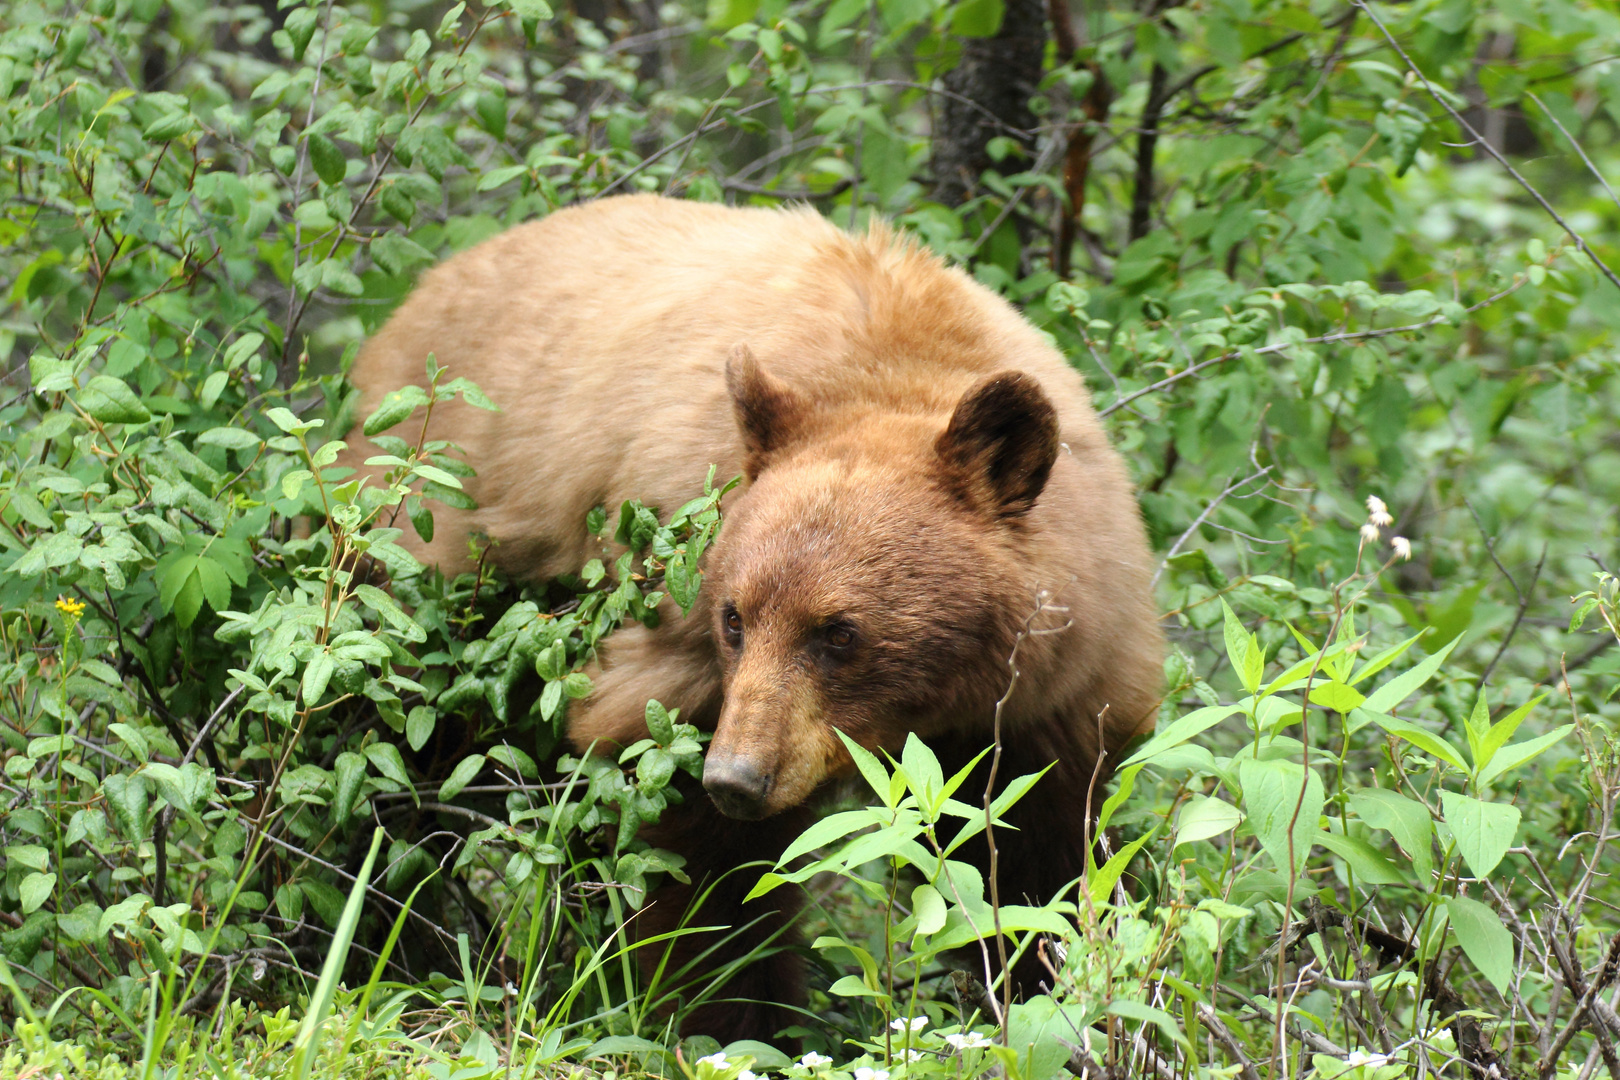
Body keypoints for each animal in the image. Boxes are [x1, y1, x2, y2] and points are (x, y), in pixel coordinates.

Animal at [345, 194, 1166, 1049]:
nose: (736, 777)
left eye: (839, 631)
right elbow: (705, 868)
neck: (893, 373)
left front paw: (1060, 999)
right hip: (424, 551)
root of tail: (410, 304)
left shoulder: (1056, 690)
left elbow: (1035, 859)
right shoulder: (680, 629)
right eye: (733, 618)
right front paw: (731, 1025)